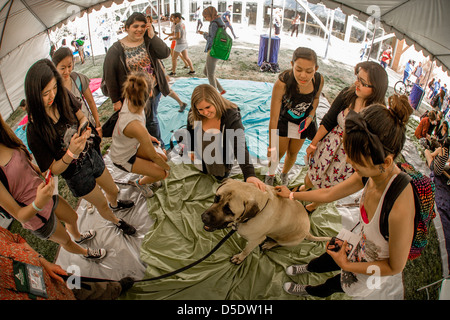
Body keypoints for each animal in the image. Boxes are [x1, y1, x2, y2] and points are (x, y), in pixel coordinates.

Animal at [201, 179, 330, 264]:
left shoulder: (255, 240)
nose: (204, 218)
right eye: (216, 197)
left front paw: (239, 258)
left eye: (228, 210)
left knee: (278, 242)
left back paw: (269, 244)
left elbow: (246, 250)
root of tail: (307, 232)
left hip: (287, 240)